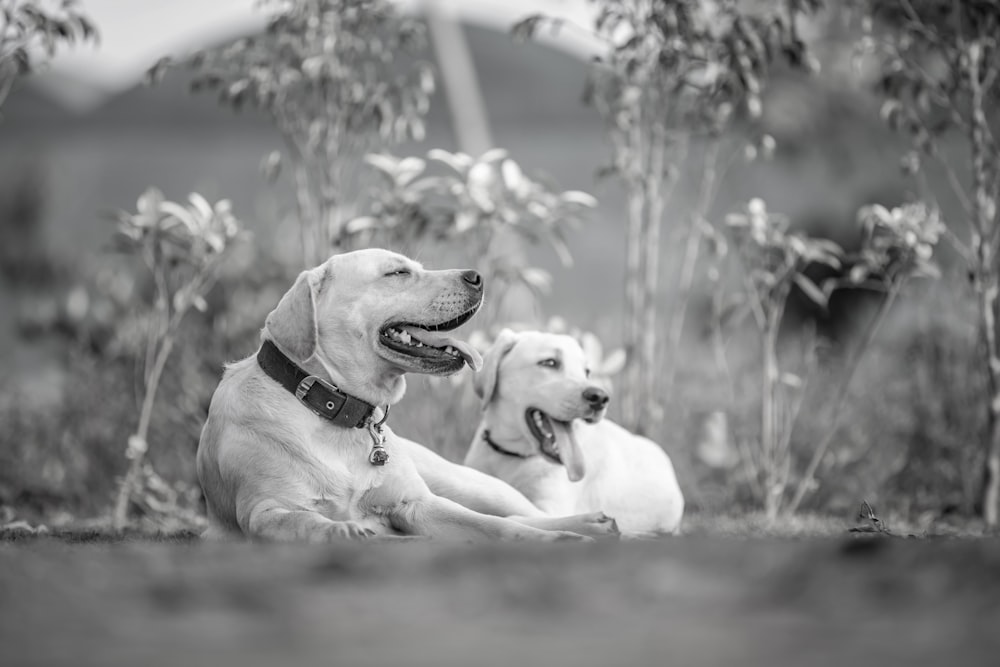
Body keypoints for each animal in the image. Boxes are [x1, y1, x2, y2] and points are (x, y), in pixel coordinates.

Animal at [195, 250, 616, 544]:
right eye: (397, 273)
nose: (477, 276)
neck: (338, 413)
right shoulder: (262, 512)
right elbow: (305, 521)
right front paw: (342, 530)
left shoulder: (418, 506)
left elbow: (499, 527)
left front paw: (558, 538)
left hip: (471, 484)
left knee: (515, 513)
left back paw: (594, 524)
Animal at [462, 328, 684, 536]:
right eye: (550, 362)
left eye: (587, 371)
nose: (600, 397)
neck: (510, 454)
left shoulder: (549, 508)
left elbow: (512, 516)